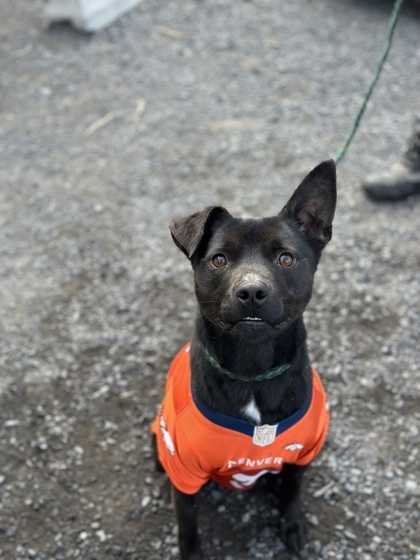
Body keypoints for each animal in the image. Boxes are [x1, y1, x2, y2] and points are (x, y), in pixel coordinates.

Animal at [153, 160, 336, 556]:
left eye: (286, 258)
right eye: (219, 259)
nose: (251, 292)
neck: (253, 371)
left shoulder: (302, 454)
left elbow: (292, 490)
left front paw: (292, 523)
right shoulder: (184, 473)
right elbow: (188, 526)